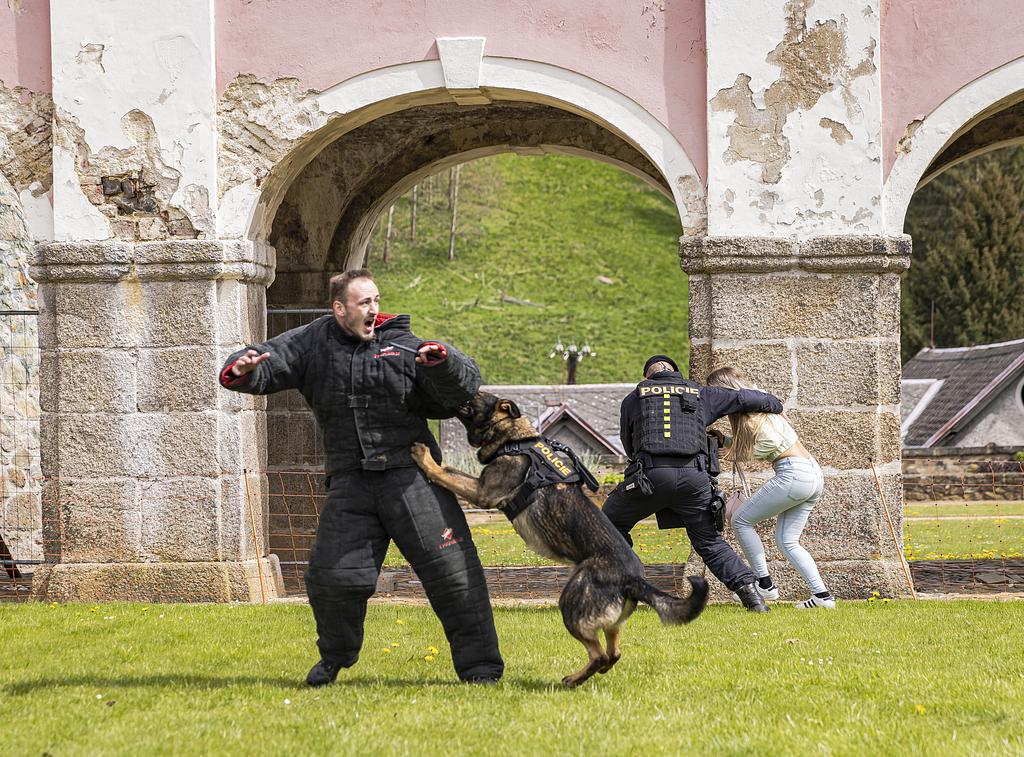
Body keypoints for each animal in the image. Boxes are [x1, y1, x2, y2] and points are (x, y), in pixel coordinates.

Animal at [411, 391, 708, 687]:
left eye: (474, 397)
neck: (514, 440)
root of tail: (632, 579)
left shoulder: (483, 492)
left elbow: (443, 471)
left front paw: (423, 455)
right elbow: (449, 468)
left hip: (571, 603)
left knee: (599, 654)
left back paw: (573, 679)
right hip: (610, 622)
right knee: (613, 654)